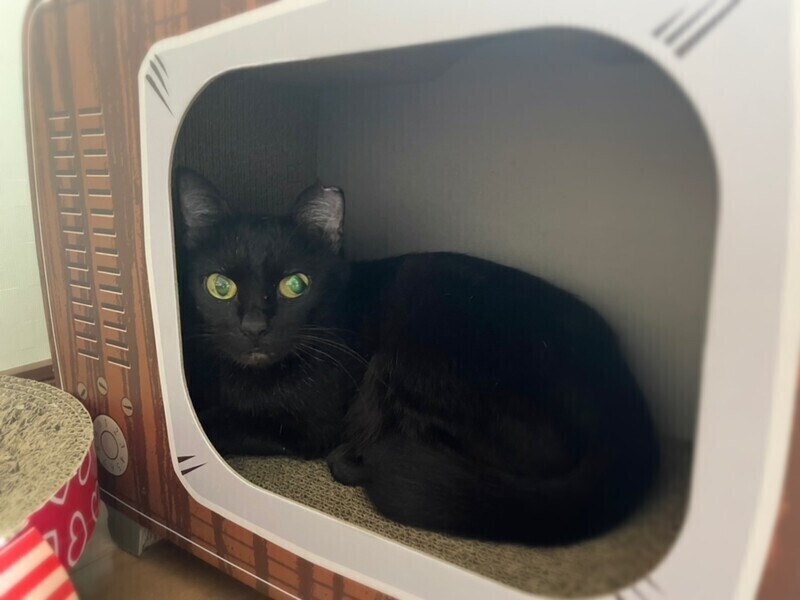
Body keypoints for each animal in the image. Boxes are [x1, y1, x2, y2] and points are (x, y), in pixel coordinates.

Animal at [176, 167, 659, 545]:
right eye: (220, 286)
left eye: (295, 284)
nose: (254, 327)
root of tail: (627, 396)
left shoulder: (307, 424)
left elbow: (221, 425)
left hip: (414, 342)